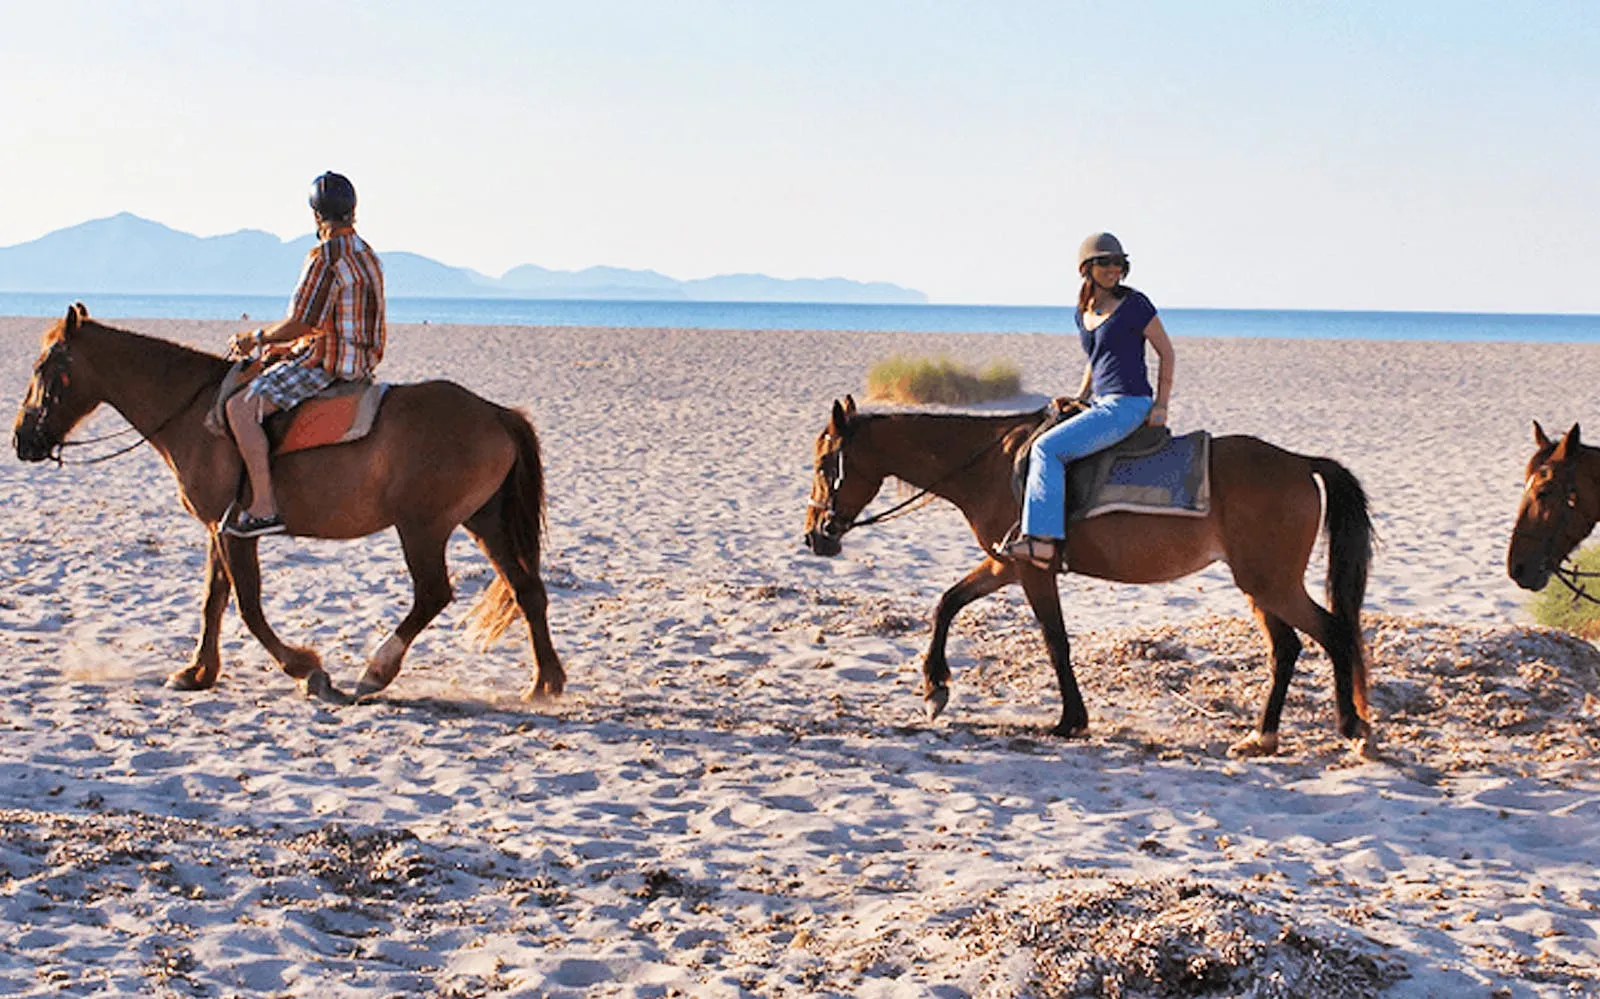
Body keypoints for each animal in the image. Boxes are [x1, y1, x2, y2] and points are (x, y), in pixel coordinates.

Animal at [12, 303, 564, 704]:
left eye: (44, 368)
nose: (21, 439)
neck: (196, 412)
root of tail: (496, 413)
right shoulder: (219, 528)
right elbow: (214, 598)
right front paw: (198, 672)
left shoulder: (237, 532)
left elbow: (249, 607)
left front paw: (306, 670)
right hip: (485, 522)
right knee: (527, 590)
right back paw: (544, 683)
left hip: (423, 529)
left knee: (433, 594)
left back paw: (376, 671)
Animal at [803, 395, 1374, 756]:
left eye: (826, 463)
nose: (815, 535)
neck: (993, 464)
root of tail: (1299, 462)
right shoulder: (1004, 565)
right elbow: (948, 602)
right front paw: (934, 688)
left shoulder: (1029, 569)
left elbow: (1054, 641)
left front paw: (1069, 720)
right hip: (1259, 585)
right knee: (1288, 648)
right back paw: (1263, 737)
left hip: (1271, 583)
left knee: (1333, 633)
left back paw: (1351, 728)